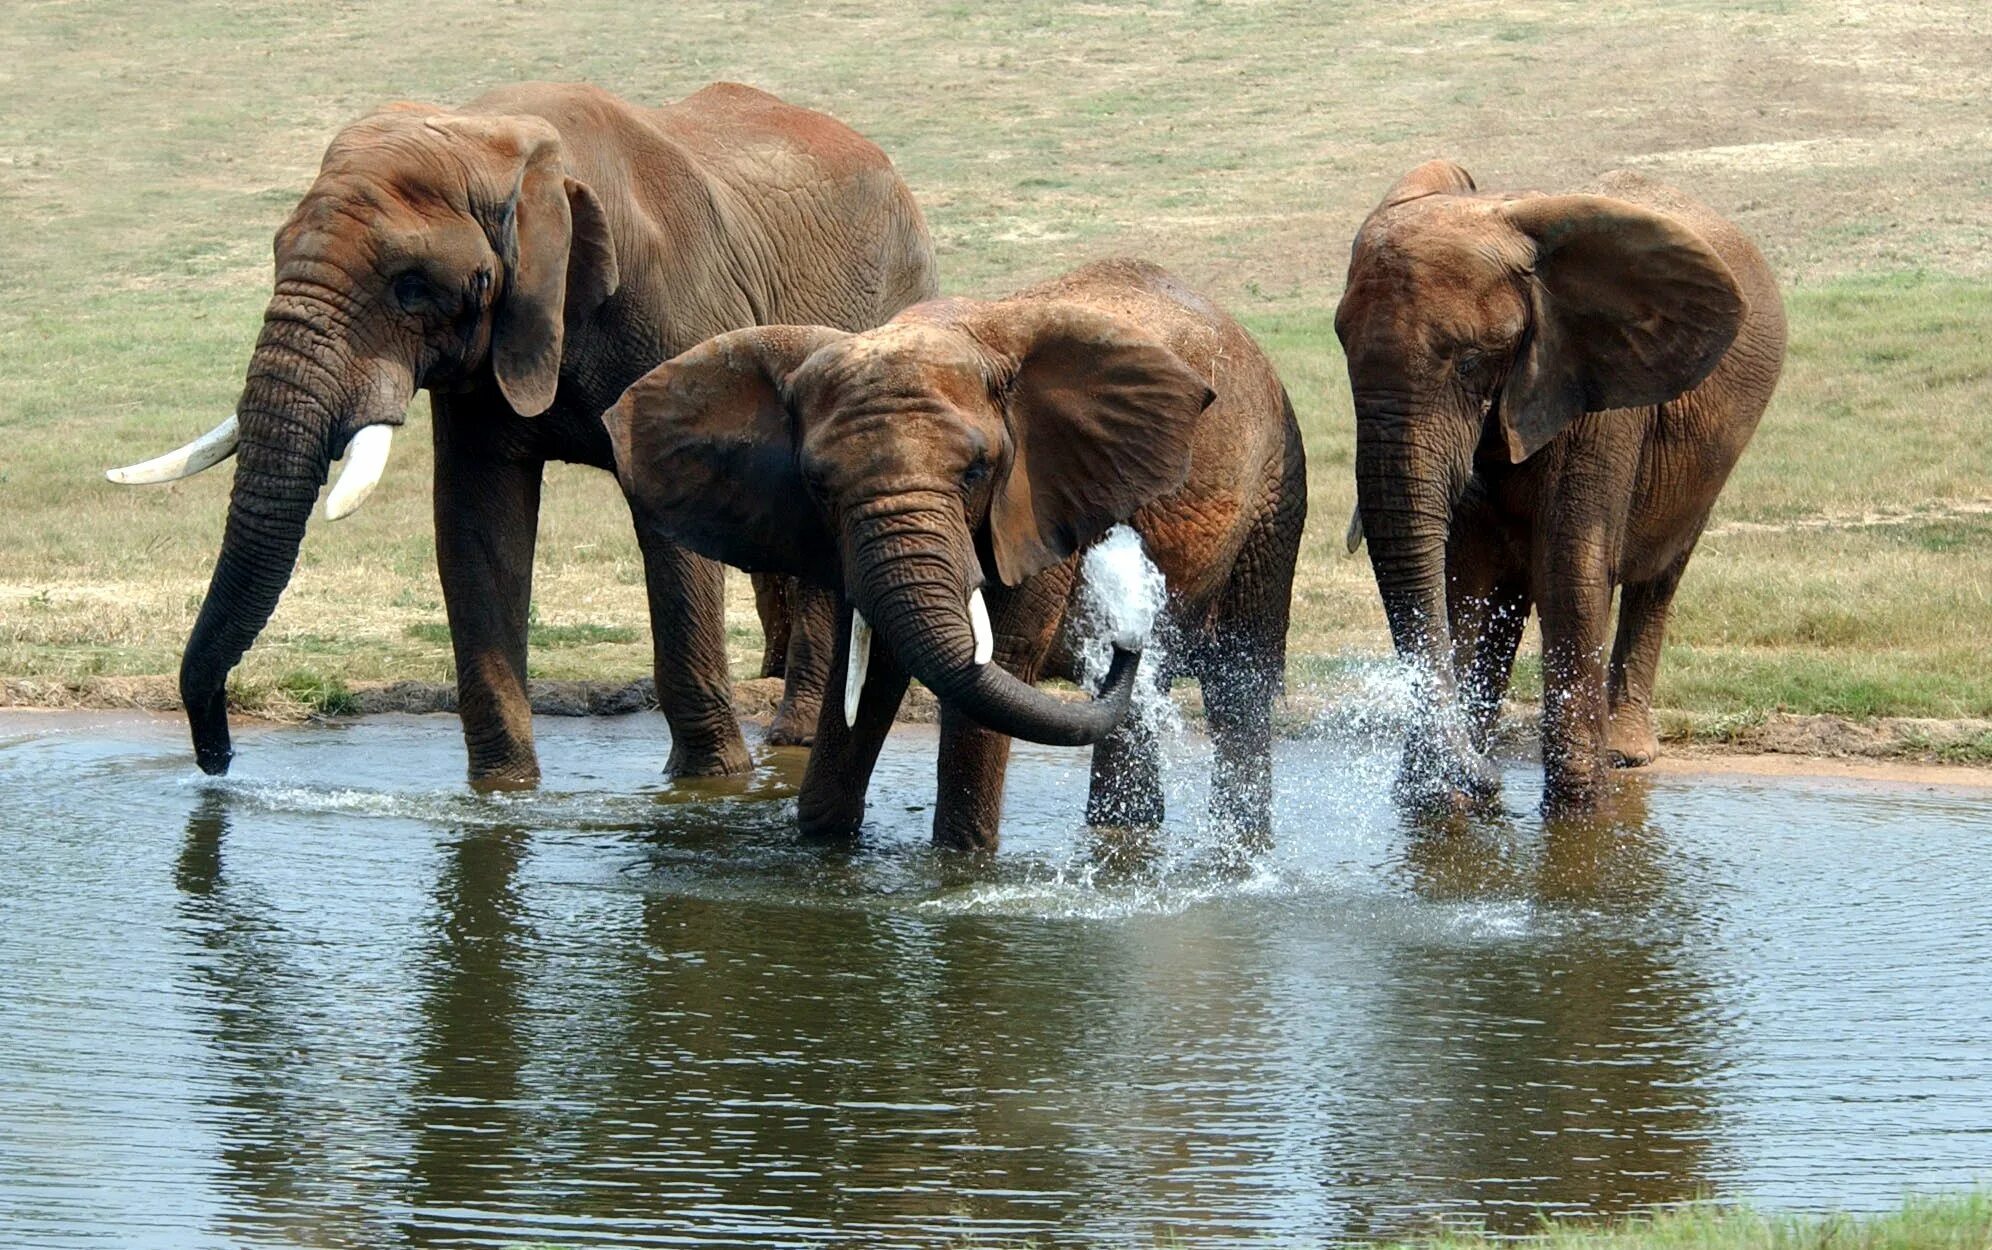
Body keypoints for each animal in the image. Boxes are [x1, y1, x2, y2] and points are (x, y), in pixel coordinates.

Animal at [113, 80, 936, 780]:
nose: (217, 762)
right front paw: (502, 791)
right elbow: (477, 525)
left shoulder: (678, 315)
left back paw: (791, 741)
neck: (502, 142)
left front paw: (709, 784)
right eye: (278, 251)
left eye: (411, 286)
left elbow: (670, 538)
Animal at [605, 260, 1306, 855]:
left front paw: (961, 863)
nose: (1123, 622)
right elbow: (867, 664)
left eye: (975, 472)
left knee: (1238, 684)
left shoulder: (1034, 499)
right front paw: (824, 845)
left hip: (1276, 484)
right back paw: (1126, 830)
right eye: (818, 485)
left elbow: (997, 662)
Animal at [1338, 161, 1792, 816]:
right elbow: (1464, 578)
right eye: (1342, 348)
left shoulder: (1597, 396)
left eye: (1472, 361)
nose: (1487, 782)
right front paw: (1444, 799)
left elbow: (1570, 571)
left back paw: (1624, 753)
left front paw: (1578, 810)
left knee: (1659, 579)